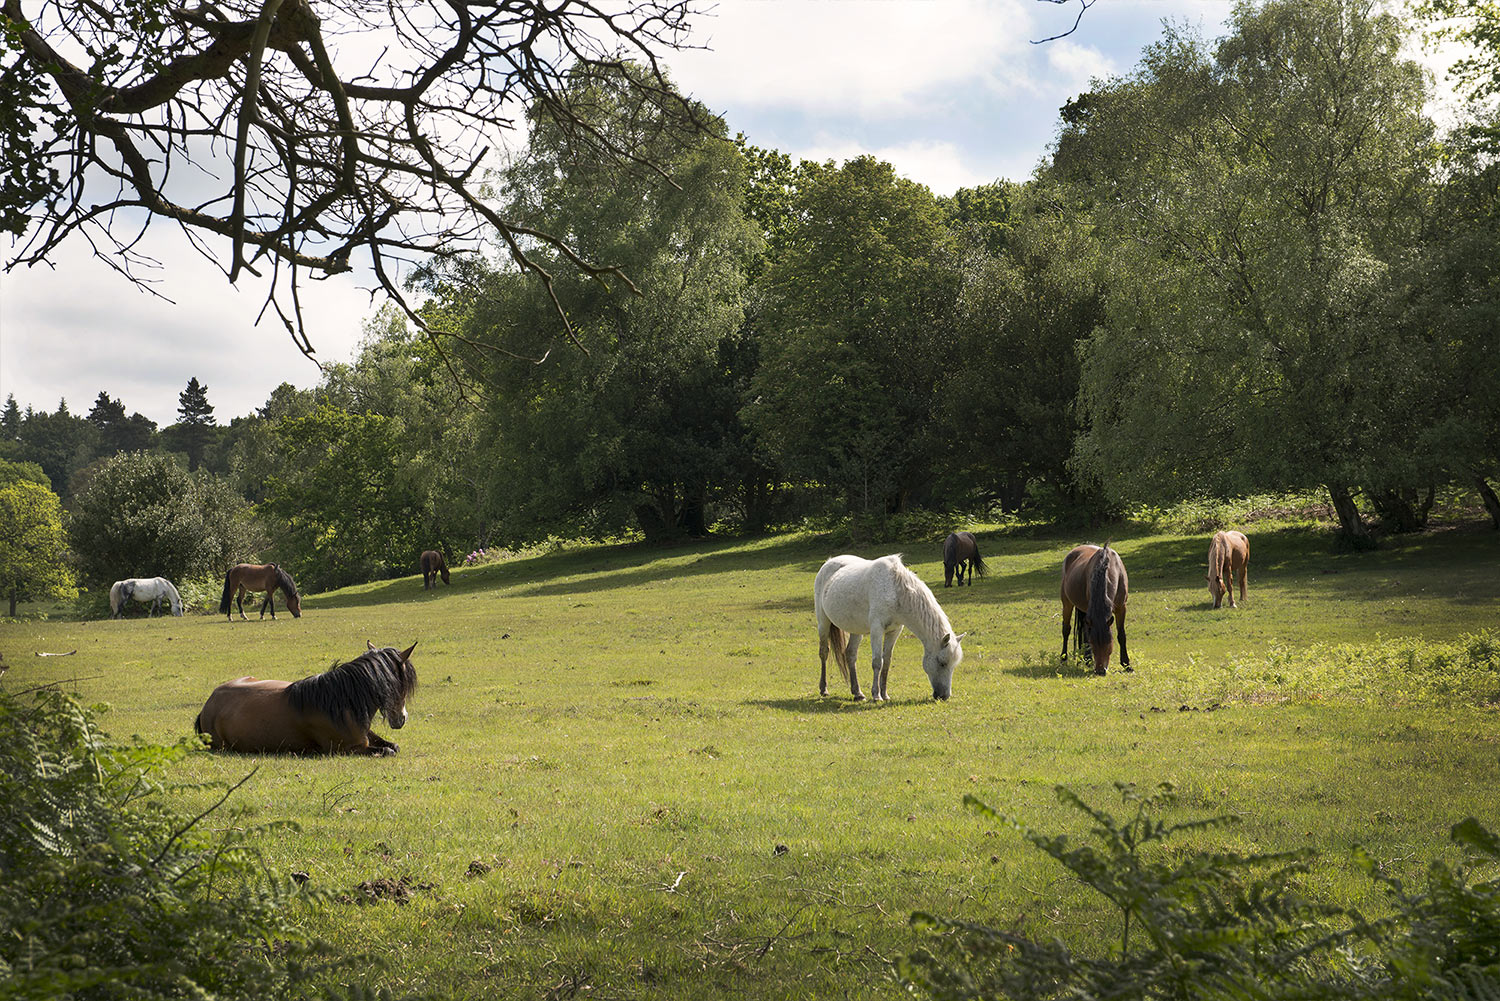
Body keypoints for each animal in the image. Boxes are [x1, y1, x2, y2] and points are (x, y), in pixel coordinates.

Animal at [195, 645, 417, 756]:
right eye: (403, 682)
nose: (402, 719)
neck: (340, 702)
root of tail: (208, 705)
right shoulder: (349, 749)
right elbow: (388, 750)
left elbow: (393, 746)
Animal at [816, 555, 966, 705]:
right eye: (942, 663)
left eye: (954, 665)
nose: (944, 696)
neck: (895, 590)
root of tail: (829, 562)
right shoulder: (877, 629)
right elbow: (877, 662)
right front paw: (876, 695)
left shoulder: (894, 631)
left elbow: (886, 662)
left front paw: (885, 694)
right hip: (823, 623)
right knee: (824, 653)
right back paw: (824, 689)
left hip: (856, 630)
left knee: (850, 655)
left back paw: (858, 693)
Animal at [1062, 543, 1128, 678]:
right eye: (1094, 644)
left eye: (1109, 644)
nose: (1100, 671)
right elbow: (1087, 636)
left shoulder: (1121, 608)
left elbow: (1121, 635)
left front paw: (1127, 664)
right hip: (1067, 603)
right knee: (1066, 630)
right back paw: (1064, 659)